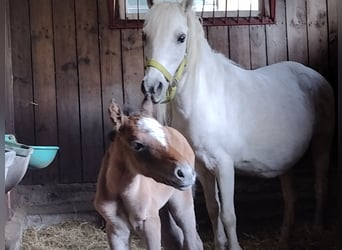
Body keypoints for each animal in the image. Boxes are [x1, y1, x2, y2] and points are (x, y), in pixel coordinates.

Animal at [140, 0, 336, 250]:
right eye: (145, 35)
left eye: (181, 37)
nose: (151, 87)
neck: (204, 99)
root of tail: (315, 76)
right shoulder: (202, 168)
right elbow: (213, 210)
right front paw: (219, 243)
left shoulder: (224, 166)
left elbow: (228, 215)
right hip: (287, 161)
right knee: (290, 197)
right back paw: (284, 238)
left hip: (322, 142)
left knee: (320, 185)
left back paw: (317, 230)